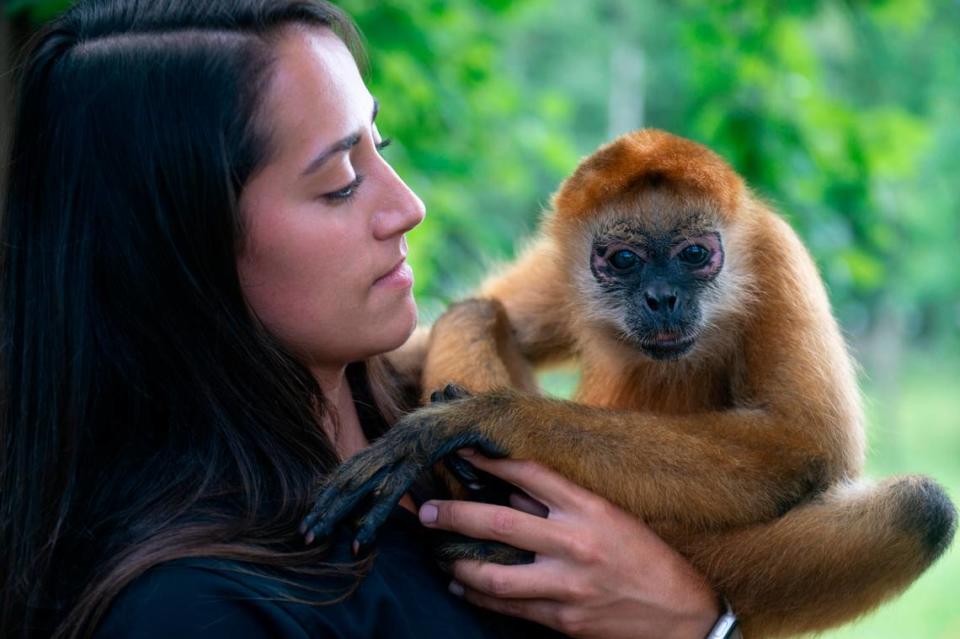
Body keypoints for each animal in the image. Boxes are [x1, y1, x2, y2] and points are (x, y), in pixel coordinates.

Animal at [304, 130, 956, 639]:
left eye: (694, 254)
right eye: (623, 260)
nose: (662, 296)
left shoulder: (773, 252)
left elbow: (805, 442)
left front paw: (482, 420)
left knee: (922, 508)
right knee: (474, 312)